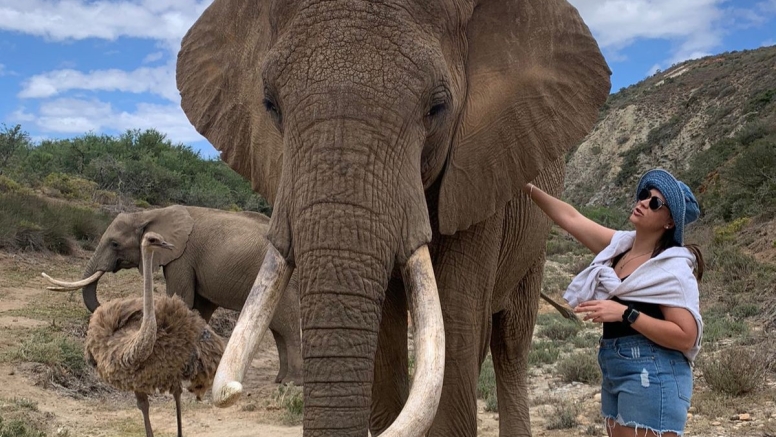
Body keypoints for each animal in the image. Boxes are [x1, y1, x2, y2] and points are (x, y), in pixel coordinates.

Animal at [42, 206, 304, 384]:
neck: (150, 214)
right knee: (278, 330)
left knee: (287, 326)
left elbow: (182, 300)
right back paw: (280, 379)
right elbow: (200, 309)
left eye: (115, 244)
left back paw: (291, 382)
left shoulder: (181, 258)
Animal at [177, 0, 612, 432]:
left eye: (437, 108)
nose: (231, 391)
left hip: (532, 242)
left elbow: (455, 327)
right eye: (270, 105)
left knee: (511, 340)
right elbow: (386, 342)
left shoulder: (480, 175)